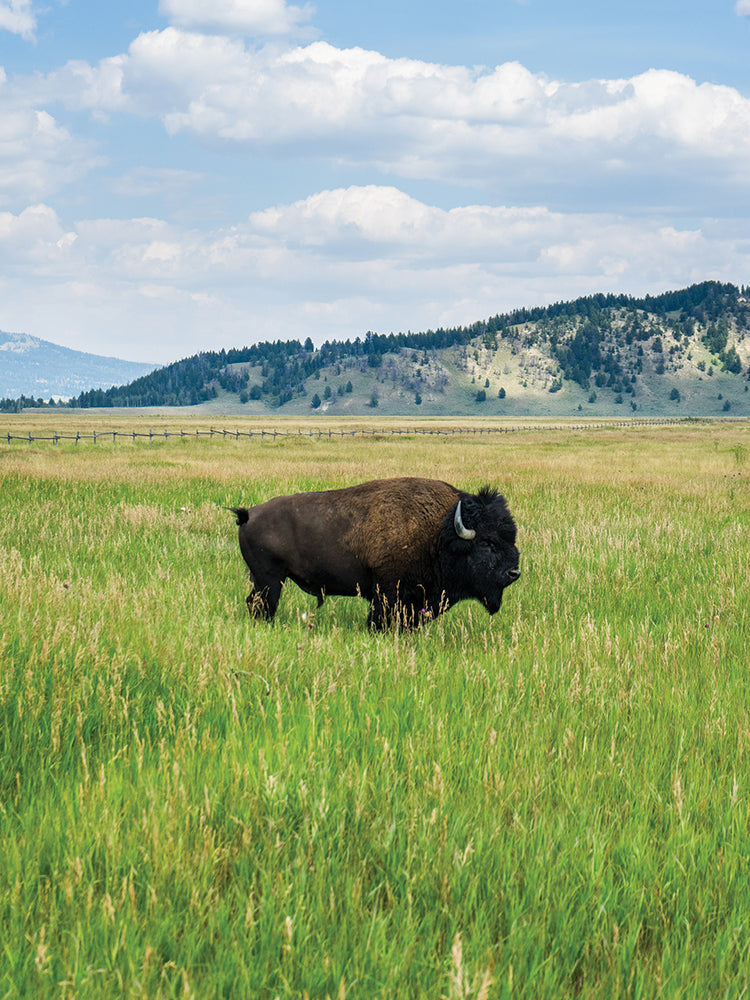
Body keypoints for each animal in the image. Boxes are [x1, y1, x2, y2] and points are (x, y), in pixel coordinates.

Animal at [229, 477, 520, 630]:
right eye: (487, 543)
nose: (514, 572)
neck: (439, 533)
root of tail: (249, 514)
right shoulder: (387, 593)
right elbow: (378, 619)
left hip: (265, 580)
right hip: (270, 579)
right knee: (261, 605)